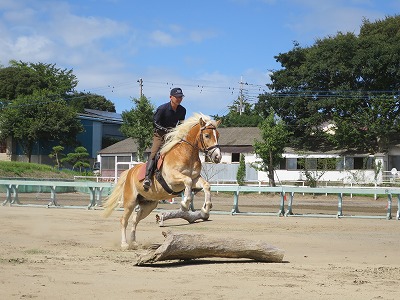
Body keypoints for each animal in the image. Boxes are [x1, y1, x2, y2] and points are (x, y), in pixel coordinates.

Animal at [103, 113, 222, 250]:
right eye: (207, 135)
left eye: (218, 135)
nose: (218, 157)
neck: (187, 153)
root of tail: (130, 172)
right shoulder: (172, 179)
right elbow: (187, 181)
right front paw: (185, 204)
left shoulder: (195, 178)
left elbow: (206, 185)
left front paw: (206, 208)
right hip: (130, 202)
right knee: (124, 220)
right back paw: (124, 244)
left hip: (149, 205)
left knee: (135, 219)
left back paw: (134, 242)